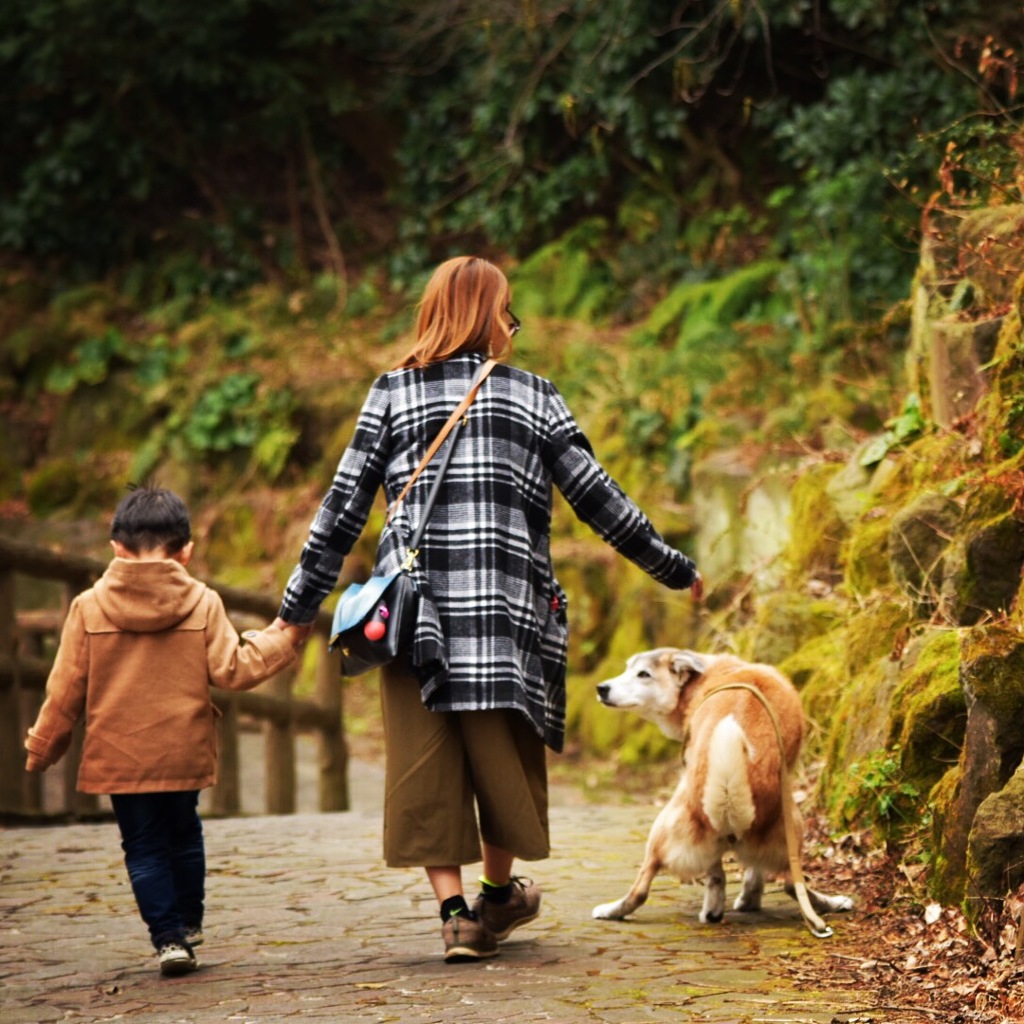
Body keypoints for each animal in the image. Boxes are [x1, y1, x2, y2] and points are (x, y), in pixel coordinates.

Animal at [589, 647, 851, 929]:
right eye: (628, 668)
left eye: (643, 674)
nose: (602, 688)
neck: (712, 675)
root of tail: (729, 797)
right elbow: (746, 872)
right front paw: (745, 900)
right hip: (790, 826)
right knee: (791, 883)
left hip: (665, 828)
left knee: (644, 888)